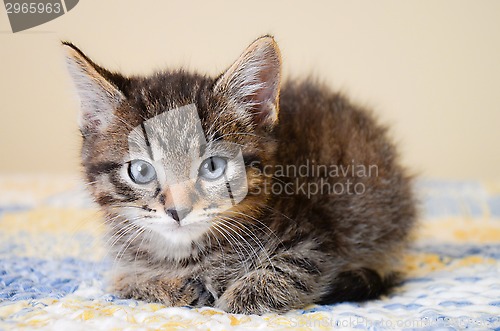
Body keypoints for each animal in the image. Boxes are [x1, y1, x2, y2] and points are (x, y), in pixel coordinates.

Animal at [62, 37, 416, 316]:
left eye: (213, 167)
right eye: (141, 170)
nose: (178, 210)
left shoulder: (315, 239)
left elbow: (287, 270)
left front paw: (235, 298)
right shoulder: (124, 262)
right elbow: (123, 282)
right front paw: (172, 287)